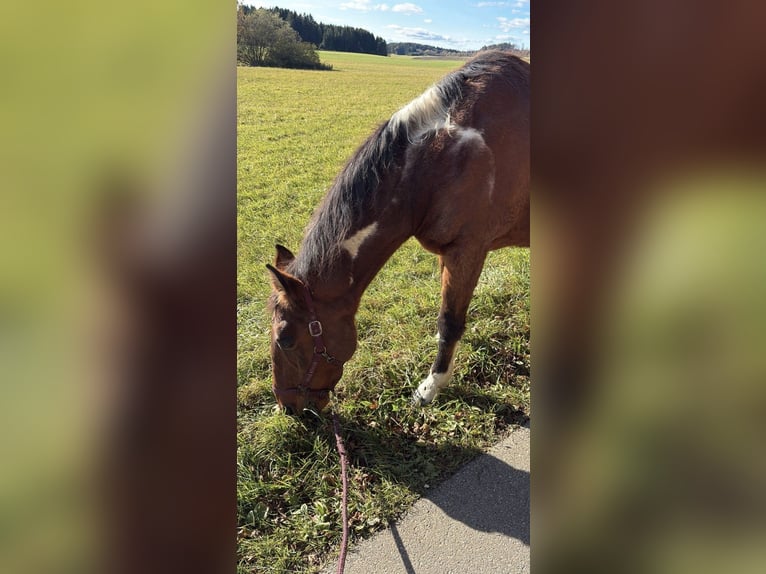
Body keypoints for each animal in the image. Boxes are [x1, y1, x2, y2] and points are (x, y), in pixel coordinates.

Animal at [266, 50, 529, 415]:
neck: (443, 158)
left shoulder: (467, 251)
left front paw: (430, 388)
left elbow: (449, 322)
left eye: (286, 339)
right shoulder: (448, 254)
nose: (288, 408)